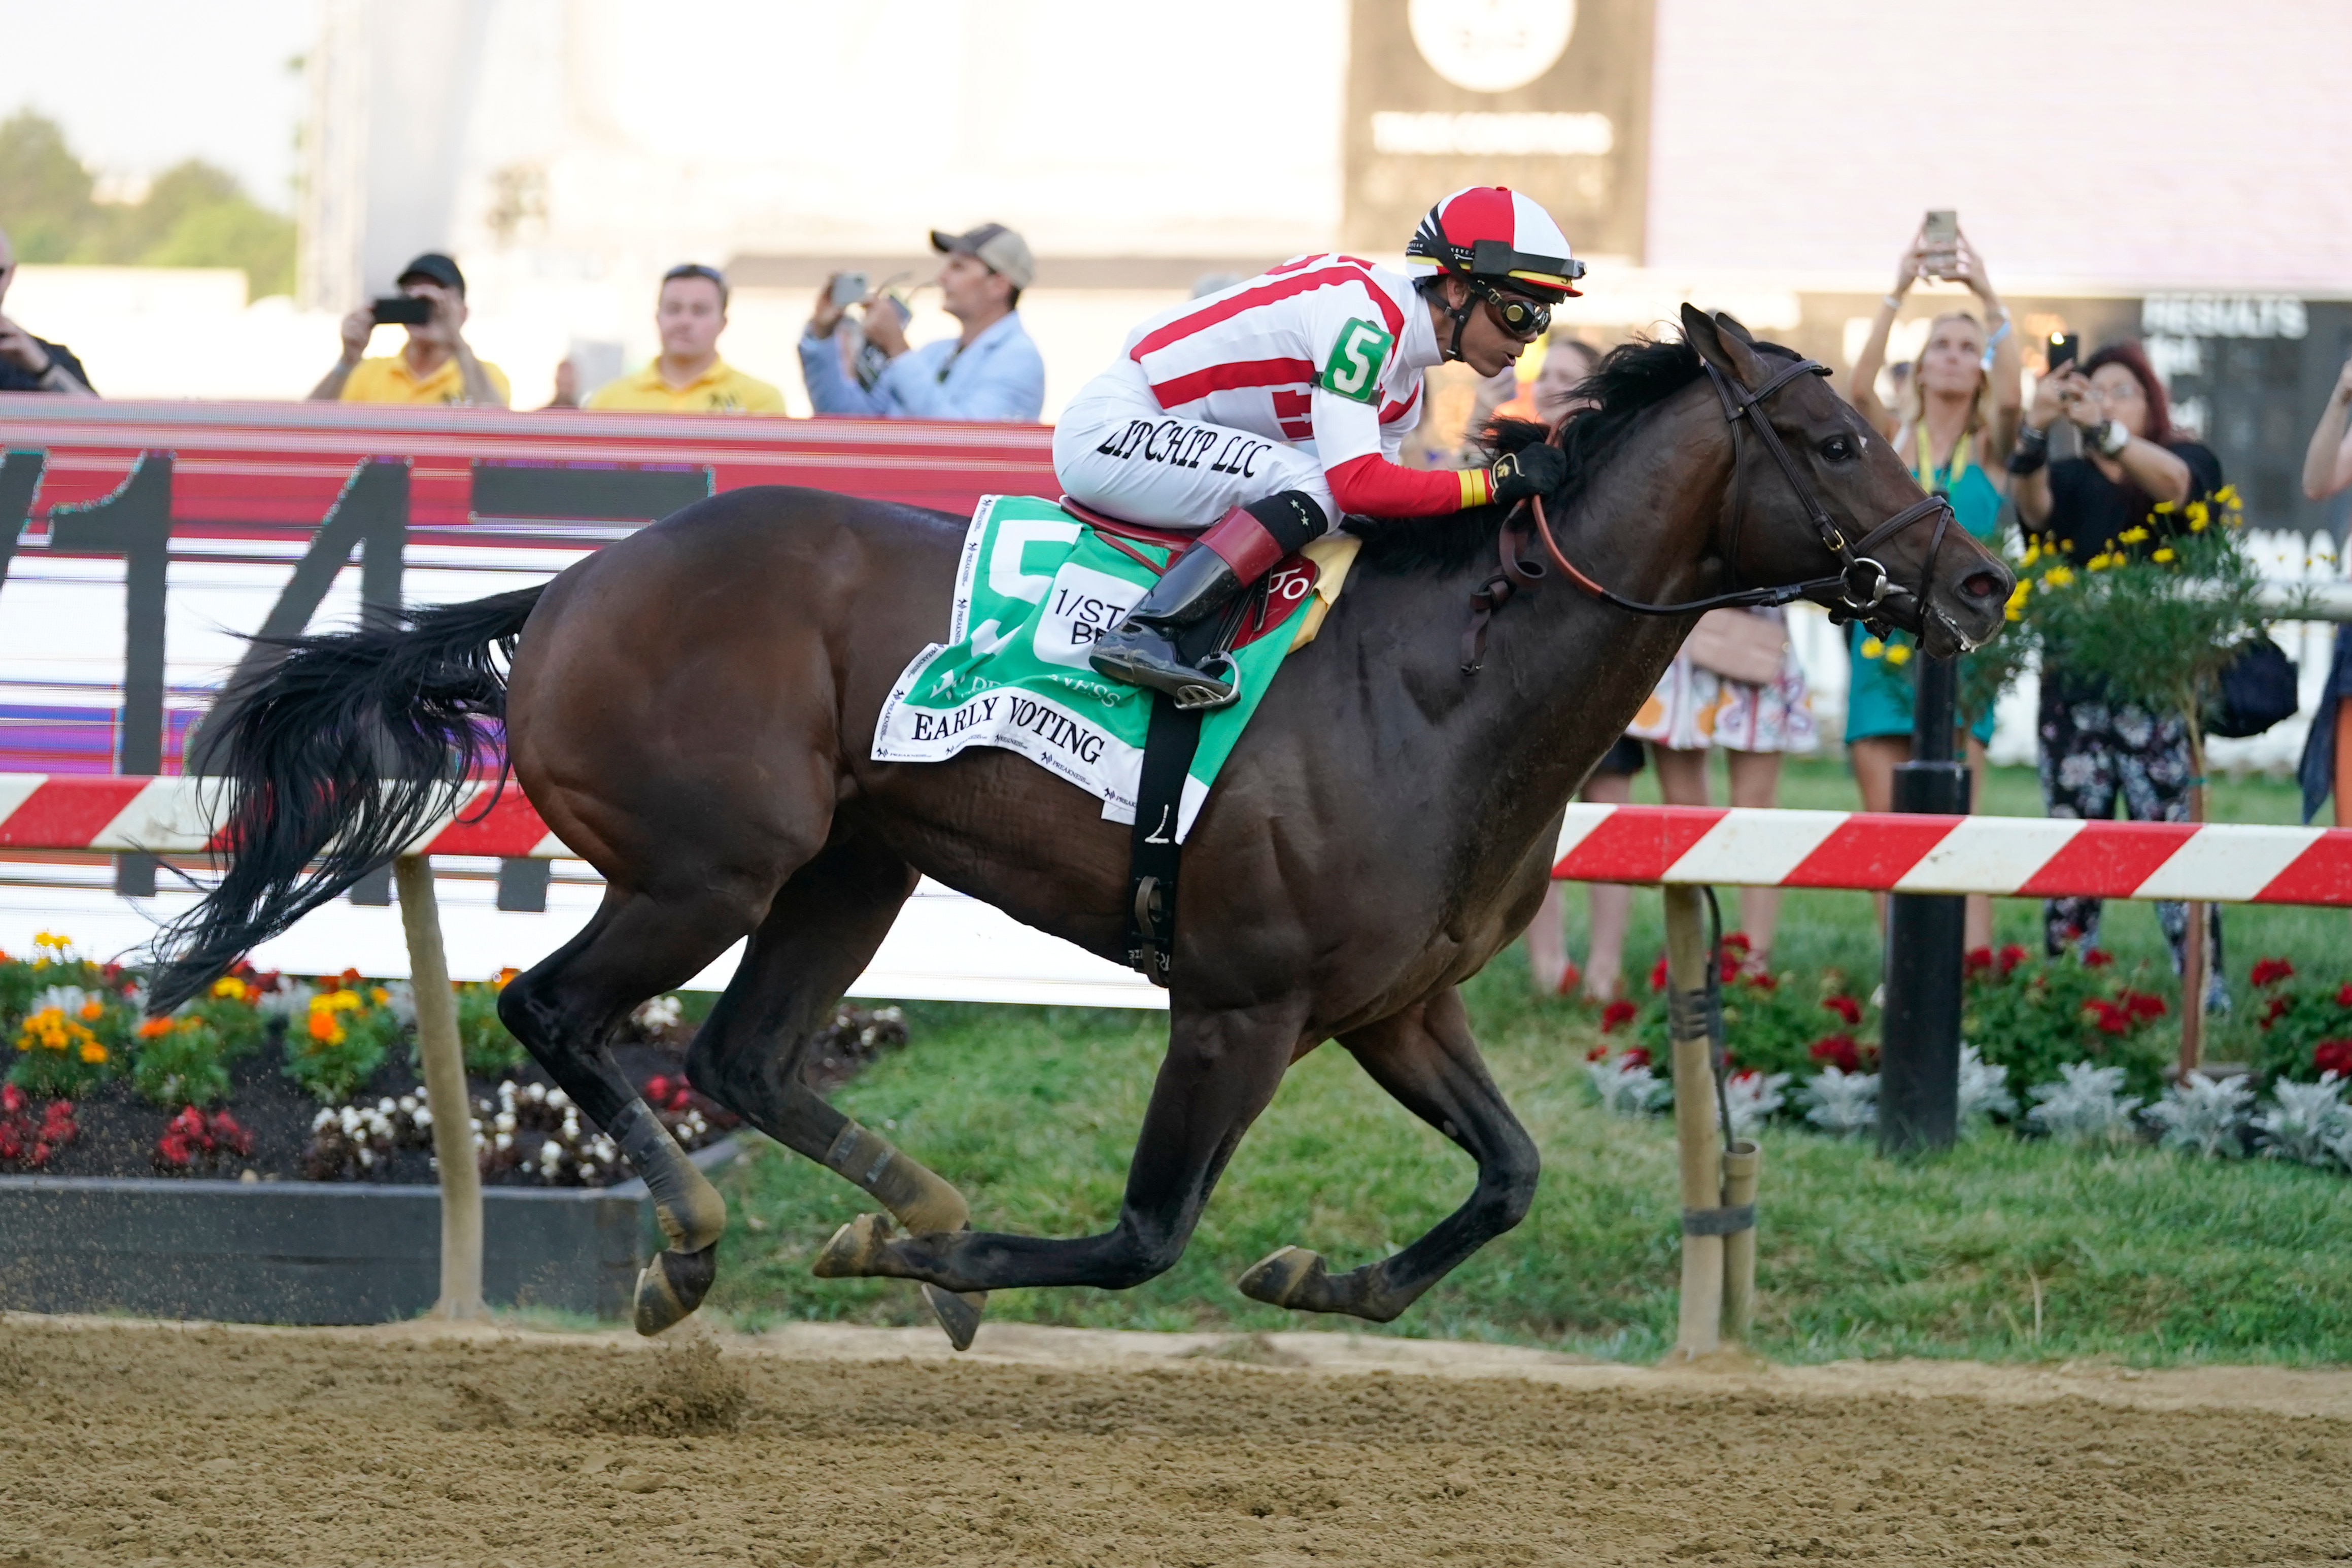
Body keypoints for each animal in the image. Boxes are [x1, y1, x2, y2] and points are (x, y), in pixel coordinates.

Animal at [150, 309, 2011, 1348]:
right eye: (1831, 434)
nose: (1982, 577)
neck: (1441, 687)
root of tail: (567, 587)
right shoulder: (1241, 1005)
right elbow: (1143, 1236)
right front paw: (935, 1260)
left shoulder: (1395, 1005)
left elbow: (1509, 1177)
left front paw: (1319, 1283)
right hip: (712, 863)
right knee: (561, 1010)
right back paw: (693, 1242)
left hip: (853, 862)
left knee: (745, 1056)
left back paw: (885, 1198)